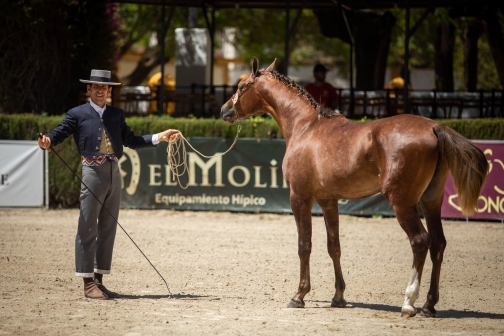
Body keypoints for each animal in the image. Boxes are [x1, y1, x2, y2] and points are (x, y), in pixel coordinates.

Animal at [220, 57, 488, 318]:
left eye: (241, 87)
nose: (224, 110)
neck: (305, 127)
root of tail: (434, 127)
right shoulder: (328, 201)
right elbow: (334, 247)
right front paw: (338, 297)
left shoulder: (299, 197)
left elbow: (304, 246)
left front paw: (299, 295)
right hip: (430, 201)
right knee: (438, 244)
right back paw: (429, 305)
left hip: (402, 202)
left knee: (421, 241)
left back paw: (409, 303)